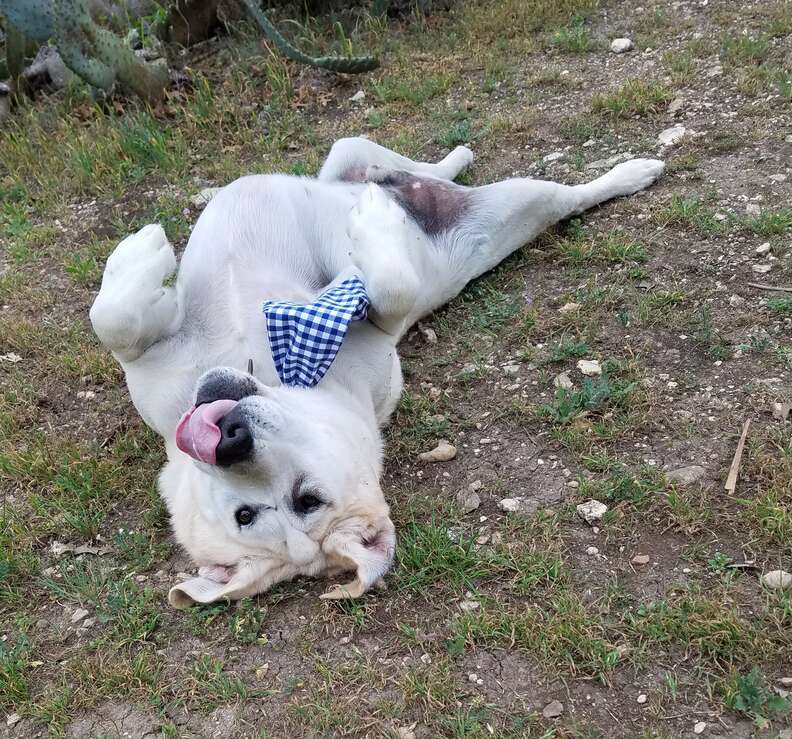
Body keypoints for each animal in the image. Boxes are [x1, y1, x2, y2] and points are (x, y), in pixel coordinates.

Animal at [89, 137, 664, 608]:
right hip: (474, 197)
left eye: (306, 500)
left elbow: (113, 321)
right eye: (245, 516)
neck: (262, 364)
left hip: (448, 184)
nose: (229, 440)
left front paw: (141, 252)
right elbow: (114, 322)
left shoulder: (370, 322)